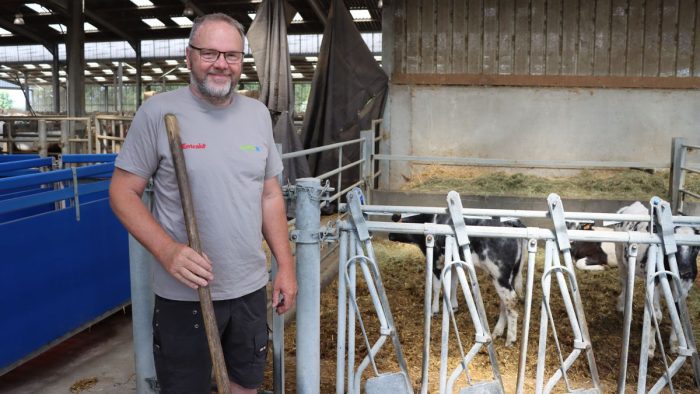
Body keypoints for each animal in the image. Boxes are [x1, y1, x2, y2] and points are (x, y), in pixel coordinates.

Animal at [388, 214, 524, 346]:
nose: (389, 235)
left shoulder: (436, 262)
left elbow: (436, 287)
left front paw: (434, 310)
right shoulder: (453, 264)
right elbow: (453, 284)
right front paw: (453, 307)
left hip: (499, 275)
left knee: (511, 302)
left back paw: (510, 339)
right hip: (508, 277)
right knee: (504, 304)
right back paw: (497, 332)